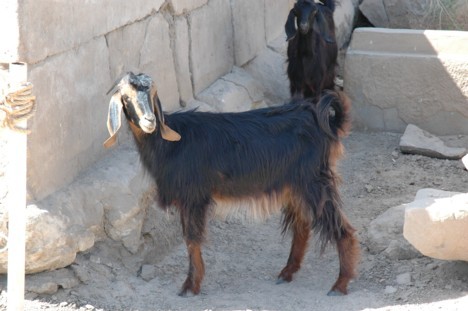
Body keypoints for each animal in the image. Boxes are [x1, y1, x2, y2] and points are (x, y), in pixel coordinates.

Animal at [104, 72, 360, 298]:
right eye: (127, 98)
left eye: (151, 95)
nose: (150, 121)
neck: (171, 143)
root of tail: (319, 119)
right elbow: (190, 239)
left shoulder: (194, 196)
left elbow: (192, 239)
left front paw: (190, 286)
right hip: (295, 185)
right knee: (302, 226)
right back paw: (287, 272)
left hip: (313, 181)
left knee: (342, 229)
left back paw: (340, 284)